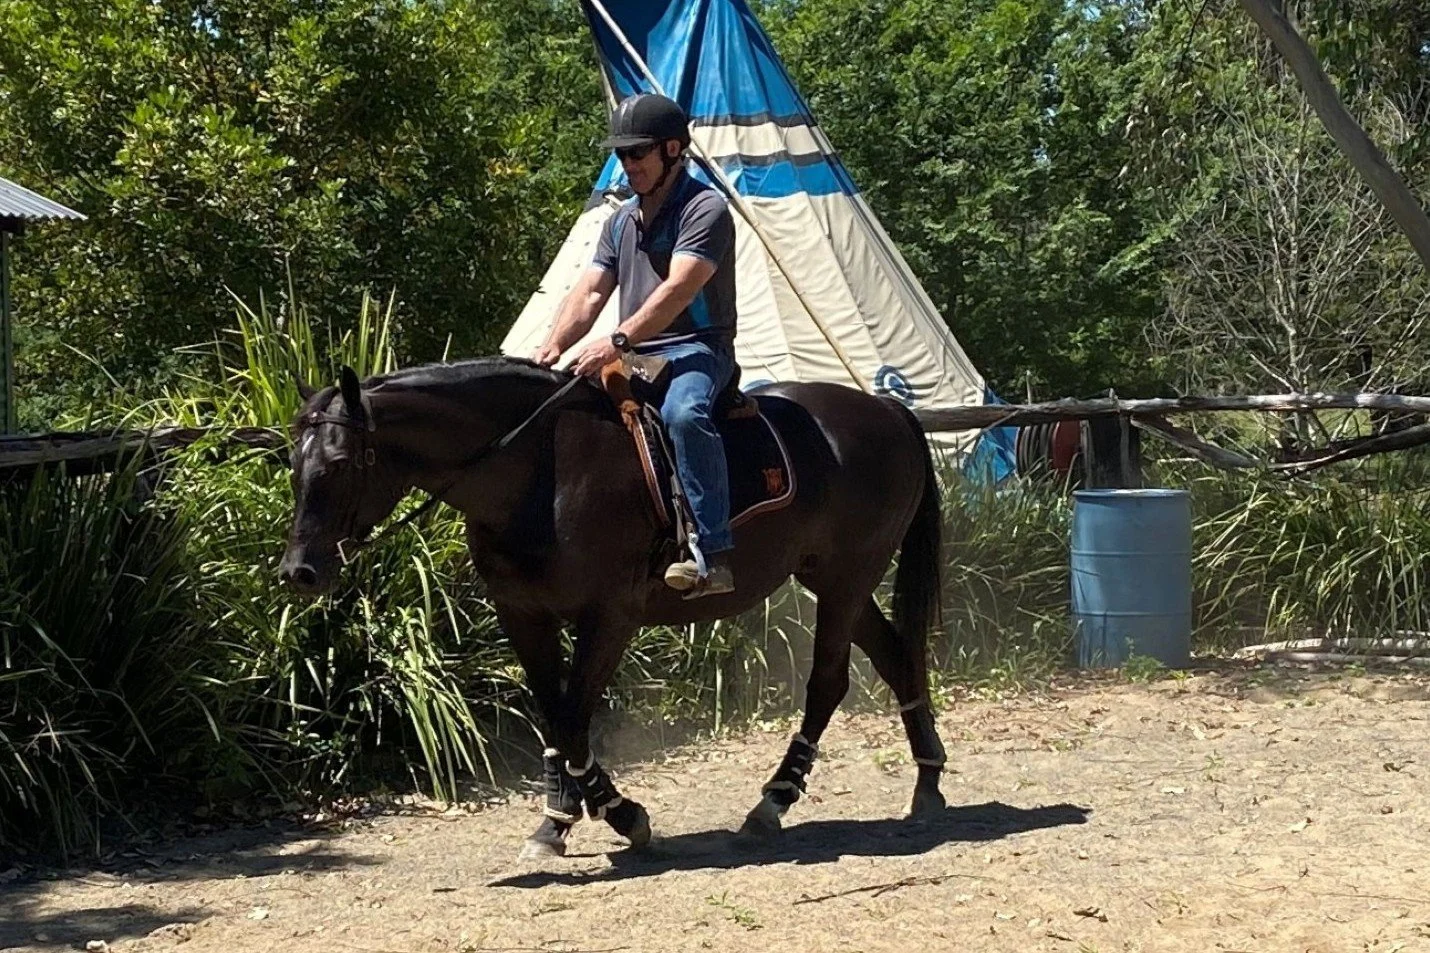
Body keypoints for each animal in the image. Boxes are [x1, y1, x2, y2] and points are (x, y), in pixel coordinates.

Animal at [278, 356, 949, 859]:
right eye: (292, 463)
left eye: (338, 464)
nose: (298, 572)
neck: (538, 473)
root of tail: (886, 411)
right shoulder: (524, 615)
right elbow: (555, 715)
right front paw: (557, 819)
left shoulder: (609, 617)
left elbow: (574, 715)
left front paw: (619, 813)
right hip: (833, 579)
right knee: (895, 659)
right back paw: (927, 784)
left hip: (846, 577)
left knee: (829, 682)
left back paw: (773, 801)